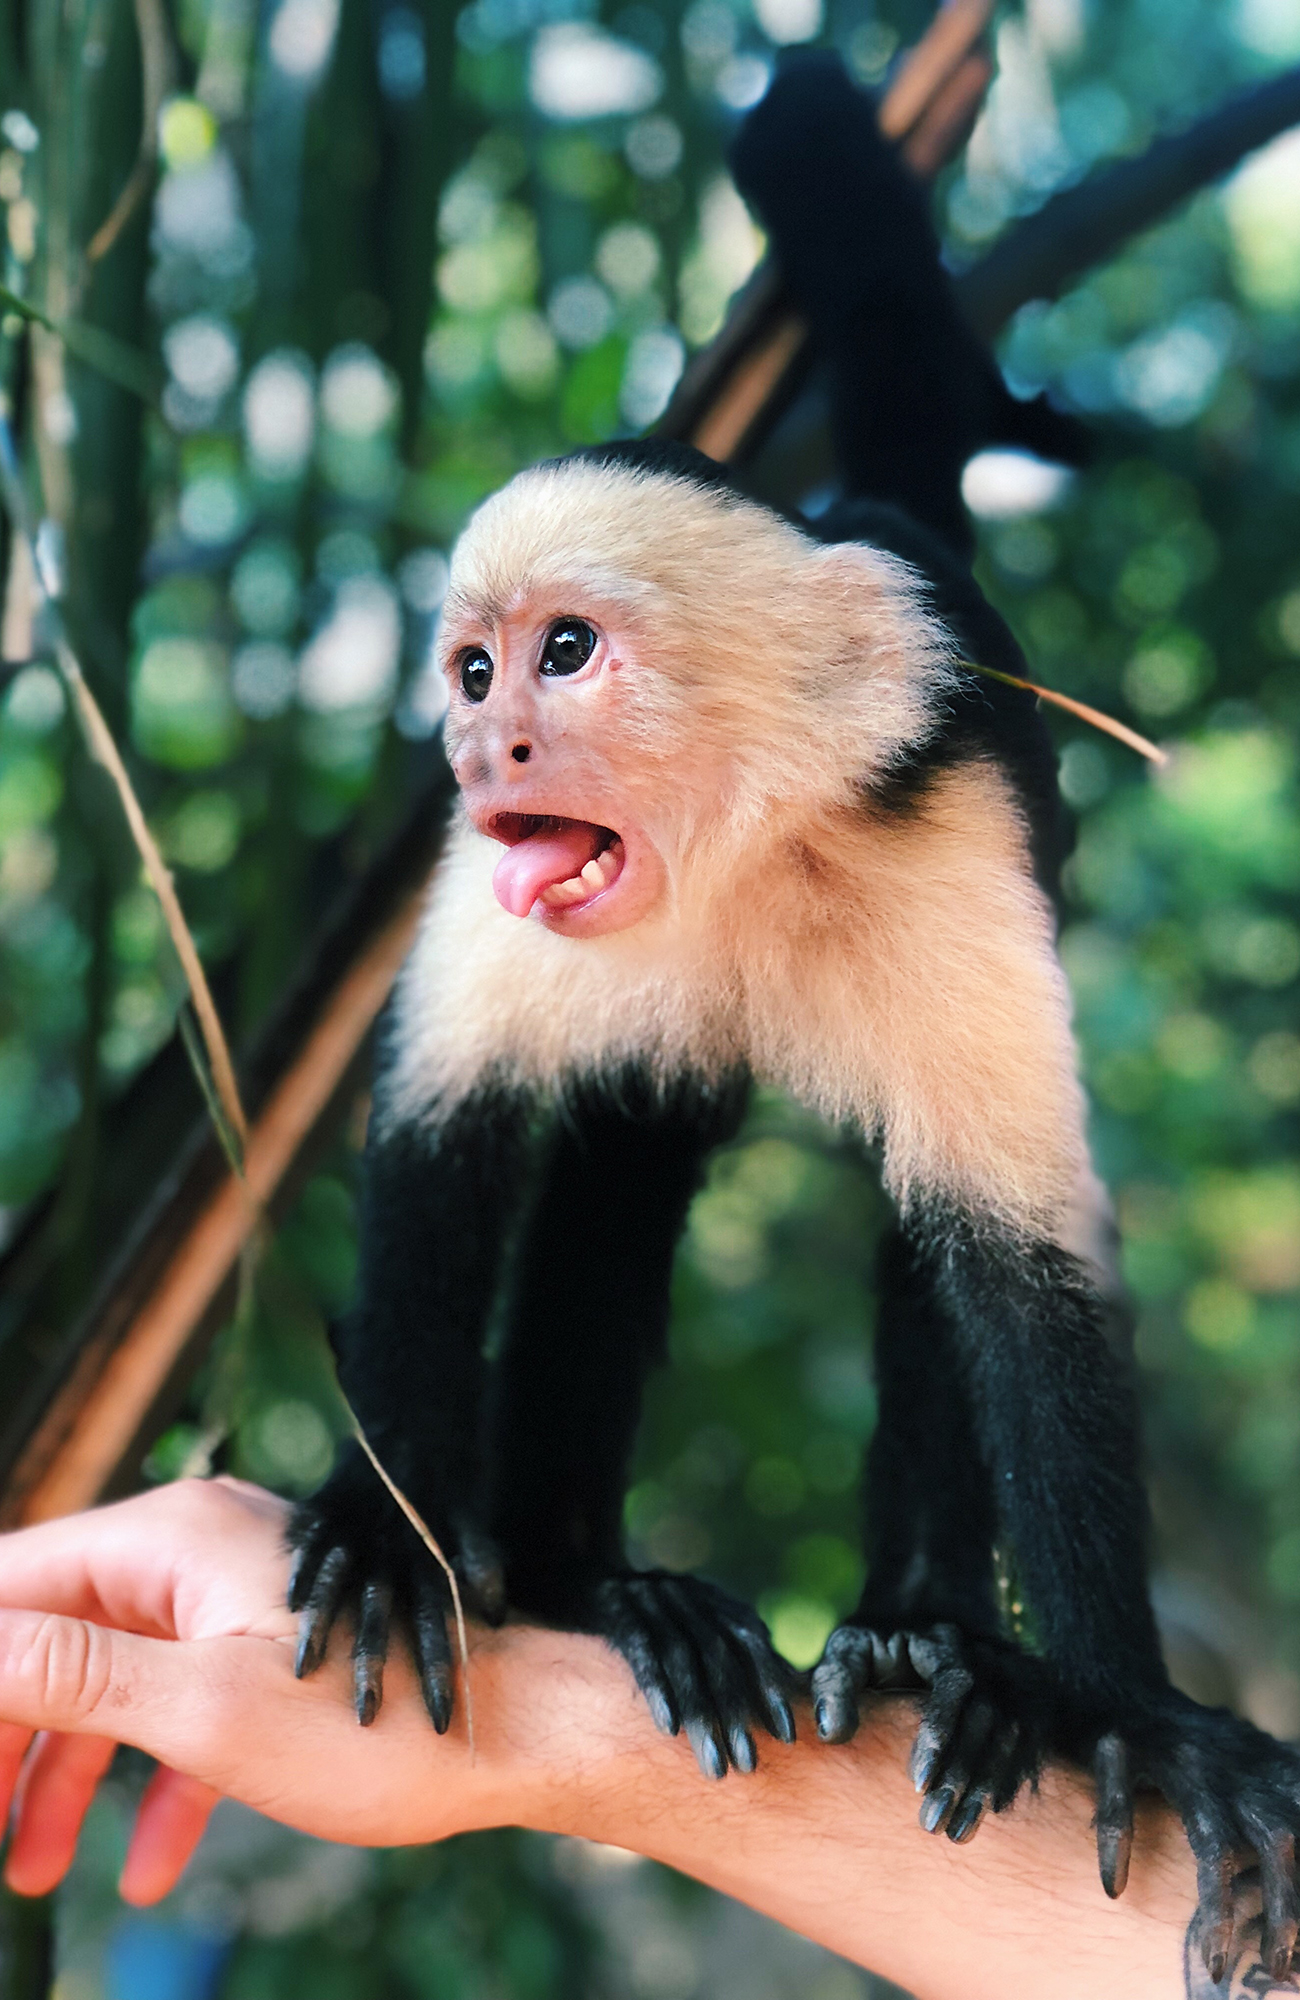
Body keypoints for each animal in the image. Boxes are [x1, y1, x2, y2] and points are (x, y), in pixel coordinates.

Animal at [287, 56, 1300, 1980]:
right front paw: (394, 1539)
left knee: (931, 1228)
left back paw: (933, 1648)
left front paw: (1132, 1714)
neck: (737, 846)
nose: (478, 746)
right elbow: (444, 1138)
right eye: (472, 667)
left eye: (566, 654)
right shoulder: (498, 891)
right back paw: (594, 1583)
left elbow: (1021, 1266)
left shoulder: (946, 823)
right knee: (621, 1167)